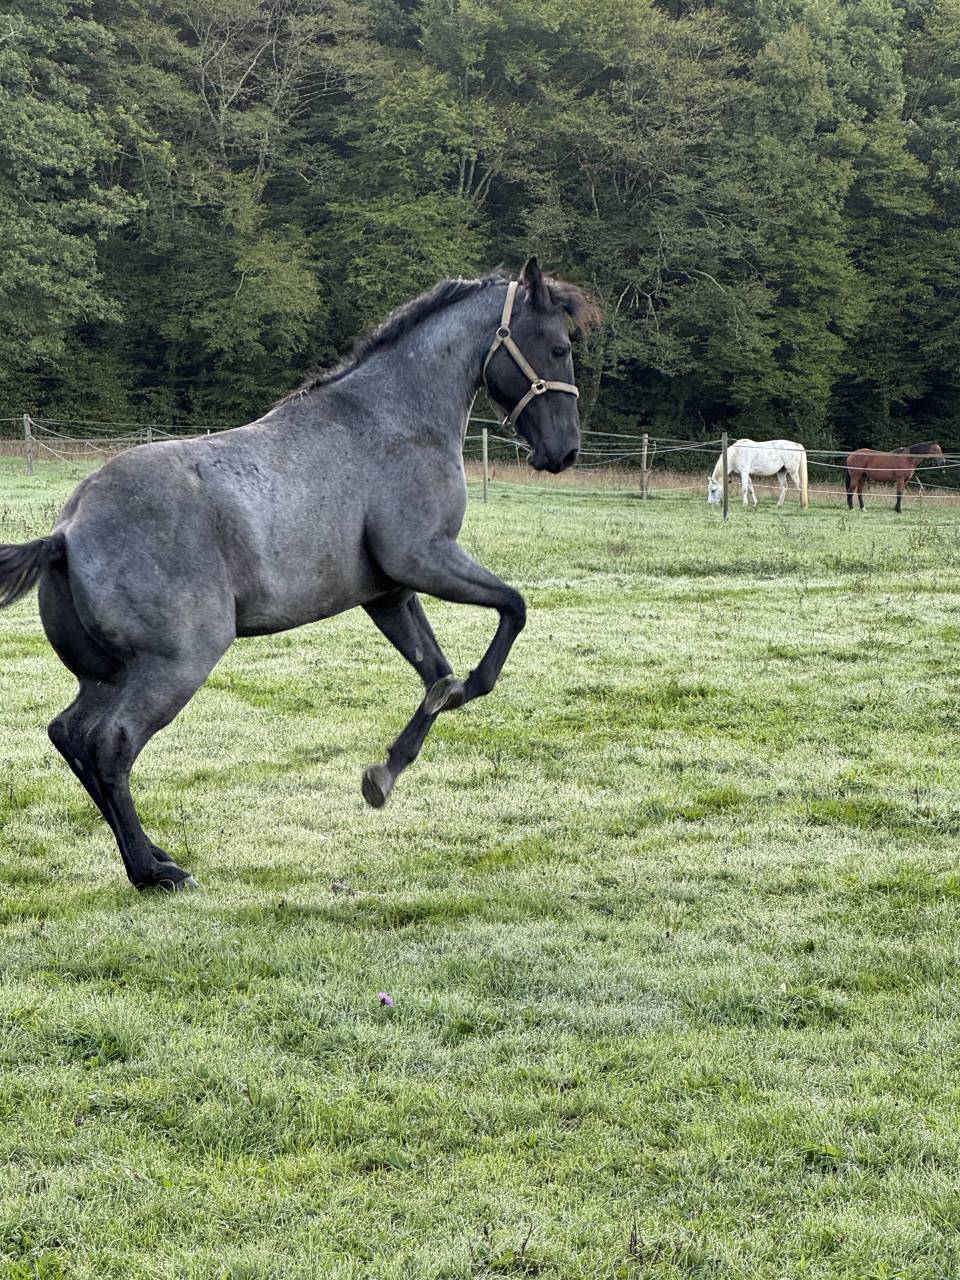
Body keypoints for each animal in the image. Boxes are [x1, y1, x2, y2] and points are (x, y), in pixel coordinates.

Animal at [0, 258, 597, 892]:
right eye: (558, 348)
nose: (565, 451)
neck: (393, 419)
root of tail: (67, 532)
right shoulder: (425, 558)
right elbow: (510, 614)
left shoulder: (389, 592)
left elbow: (437, 675)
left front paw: (385, 772)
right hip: (175, 665)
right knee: (110, 746)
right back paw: (155, 871)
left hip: (106, 674)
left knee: (70, 735)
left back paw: (154, 854)